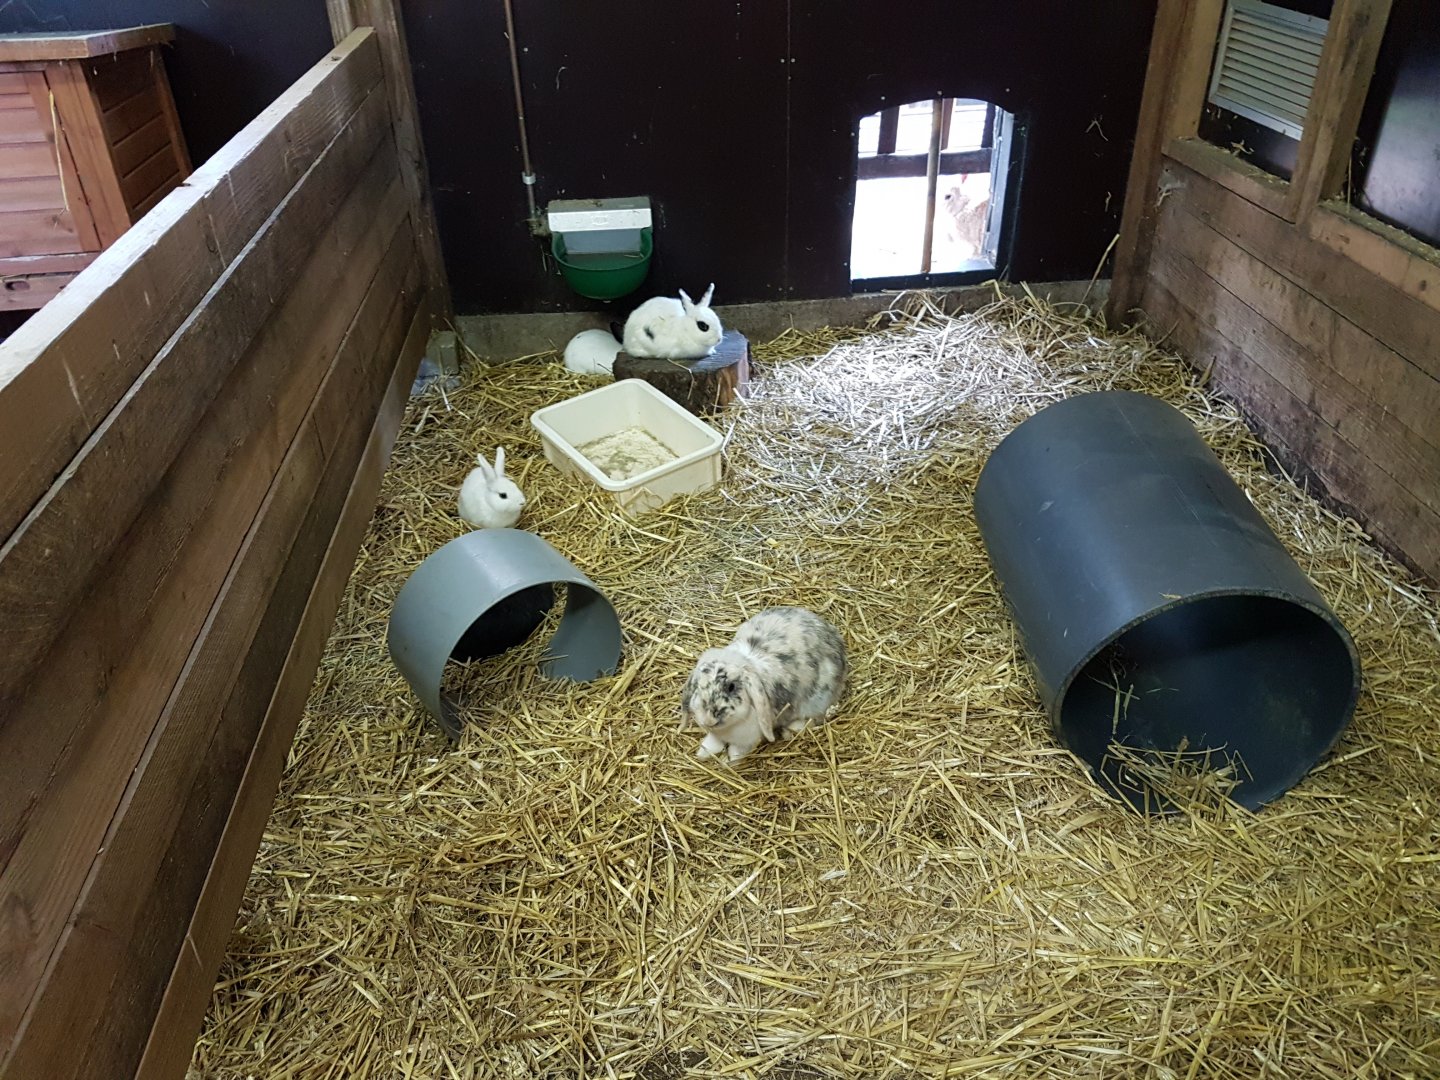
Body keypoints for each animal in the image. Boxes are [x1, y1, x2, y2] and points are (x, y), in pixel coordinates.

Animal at [681, 606, 847, 763]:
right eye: (698, 686)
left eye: (731, 687)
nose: (709, 720)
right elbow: (713, 742)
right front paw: (702, 754)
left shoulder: (746, 741)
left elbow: (735, 752)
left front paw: (728, 762)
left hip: (818, 702)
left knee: (813, 719)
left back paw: (792, 728)